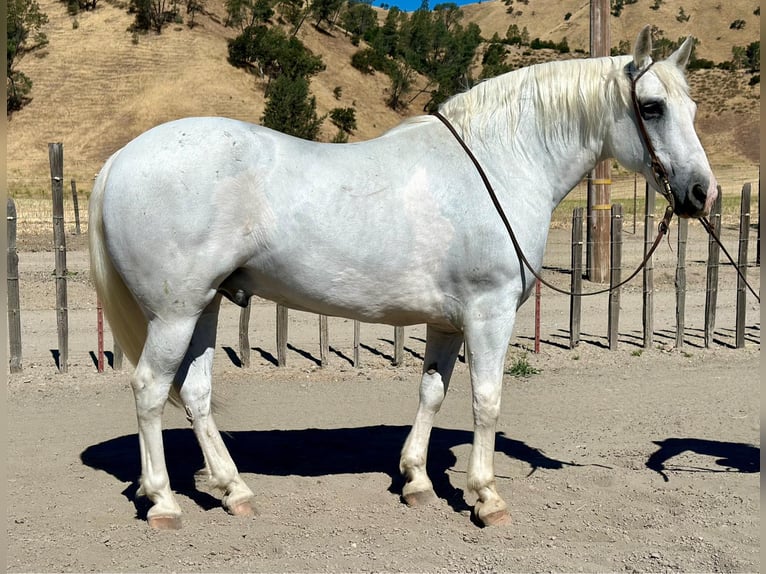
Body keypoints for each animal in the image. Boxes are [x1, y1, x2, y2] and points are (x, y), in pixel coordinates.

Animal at [90, 27, 720, 532]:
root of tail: (119, 160)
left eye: (691, 109)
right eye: (653, 106)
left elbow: (432, 392)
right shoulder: (490, 313)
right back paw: (164, 502)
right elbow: (487, 399)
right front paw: (486, 496)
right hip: (174, 313)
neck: (500, 162)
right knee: (150, 389)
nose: (701, 193)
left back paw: (233, 490)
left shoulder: (449, 322)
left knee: (195, 393)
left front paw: (416, 481)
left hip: (206, 305)